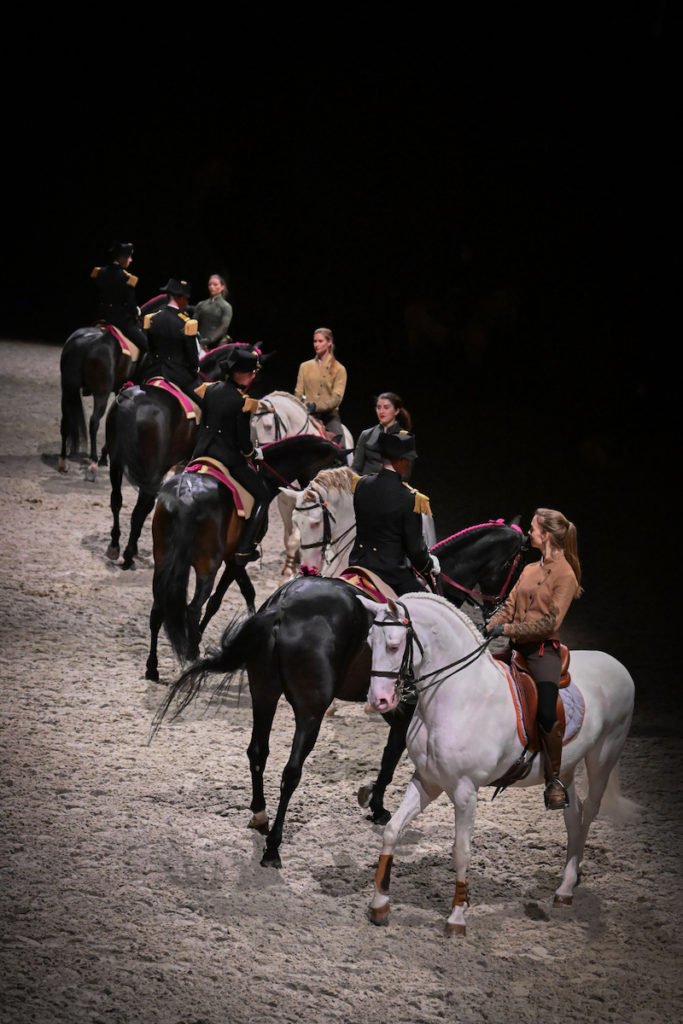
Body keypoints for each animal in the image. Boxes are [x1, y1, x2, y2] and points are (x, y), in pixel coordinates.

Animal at [144, 432, 348, 679]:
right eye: (336, 465)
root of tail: (185, 495)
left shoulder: (234, 558)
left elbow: (247, 591)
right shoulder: (235, 558)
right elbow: (217, 601)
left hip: (163, 560)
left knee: (158, 607)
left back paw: (152, 667)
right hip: (207, 566)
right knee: (193, 608)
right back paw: (192, 656)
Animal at [154, 520, 528, 864]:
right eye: (517, 567)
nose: (497, 615)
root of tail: (283, 605)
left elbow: (390, 752)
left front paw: (372, 797)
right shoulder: (405, 707)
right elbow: (392, 754)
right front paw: (376, 804)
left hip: (264, 692)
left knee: (257, 752)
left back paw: (260, 816)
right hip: (311, 710)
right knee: (291, 771)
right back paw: (273, 846)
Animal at [253, 391, 356, 577]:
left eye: (268, 426)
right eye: (253, 427)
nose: (261, 455)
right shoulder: (285, 499)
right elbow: (290, 533)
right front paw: (291, 562)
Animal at [366, 593, 638, 937]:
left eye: (393, 644)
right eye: (369, 641)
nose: (379, 701)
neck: (457, 694)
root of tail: (616, 664)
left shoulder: (465, 790)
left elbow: (461, 850)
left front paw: (457, 917)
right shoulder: (427, 781)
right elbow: (392, 830)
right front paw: (379, 904)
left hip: (603, 756)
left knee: (589, 813)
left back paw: (568, 885)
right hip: (564, 768)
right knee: (572, 816)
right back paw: (564, 886)